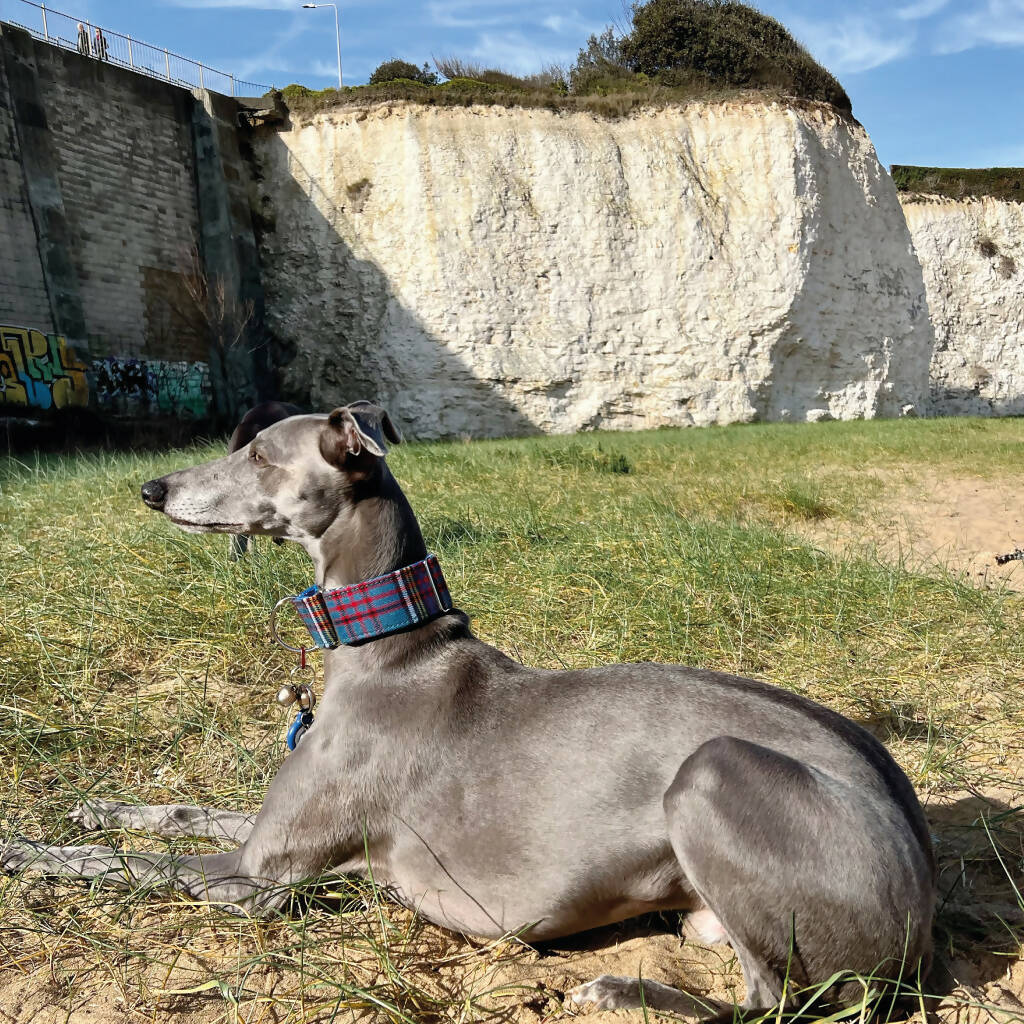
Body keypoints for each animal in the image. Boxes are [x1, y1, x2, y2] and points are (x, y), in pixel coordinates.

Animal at [4, 399, 937, 1015]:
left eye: (262, 456)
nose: (152, 489)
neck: (388, 647)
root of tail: (926, 896)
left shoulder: (257, 877)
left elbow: (117, 865)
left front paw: (24, 846)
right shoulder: (268, 830)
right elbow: (173, 810)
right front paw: (92, 809)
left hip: (713, 769)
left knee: (777, 1002)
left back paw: (618, 990)